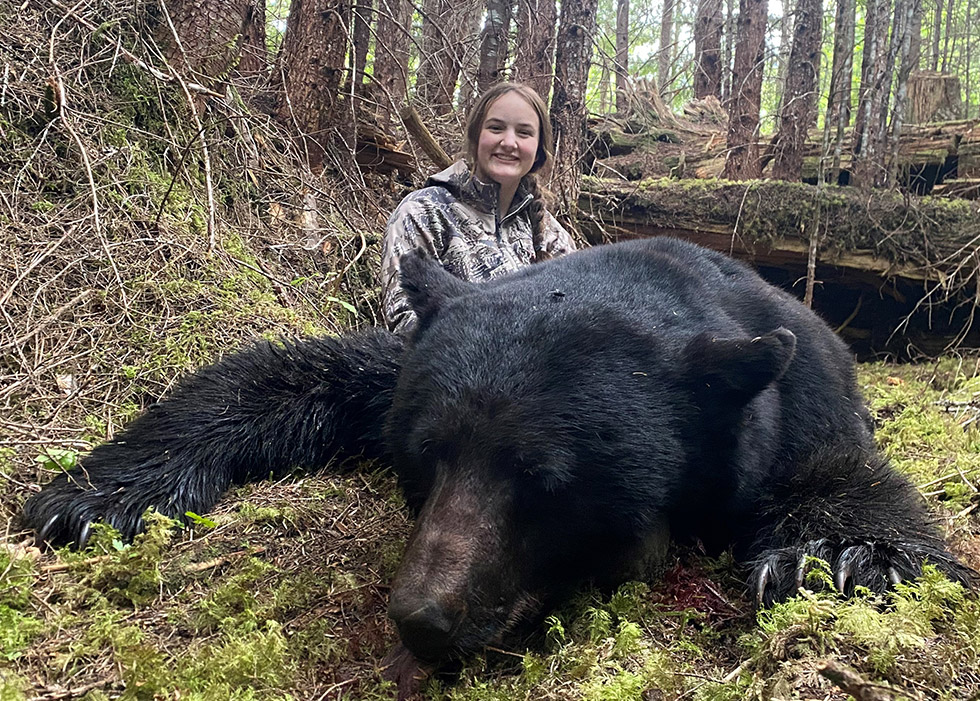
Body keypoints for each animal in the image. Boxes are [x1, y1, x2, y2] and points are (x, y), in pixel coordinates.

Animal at [22, 237, 973, 681]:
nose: (422, 617)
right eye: (423, 458)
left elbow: (842, 481)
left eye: (548, 483)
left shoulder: (787, 408)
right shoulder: (404, 367)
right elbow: (289, 371)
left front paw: (842, 557)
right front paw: (93, 493)